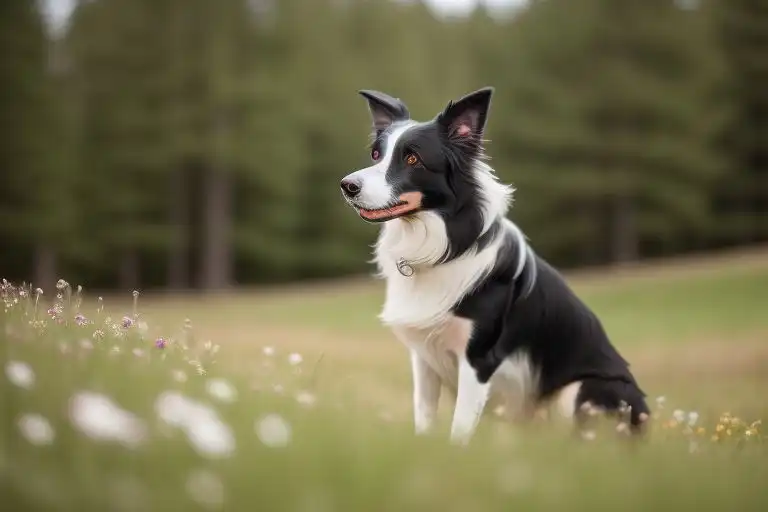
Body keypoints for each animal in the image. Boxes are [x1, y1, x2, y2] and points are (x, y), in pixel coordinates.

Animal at [340, 87, 648, 444]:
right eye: (376, 155)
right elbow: (425, 420)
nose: (347, 185)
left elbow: (459, 430)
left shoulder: (477, 359)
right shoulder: (424, 358)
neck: (442, 247)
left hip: (584, 389)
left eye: (412, 159)